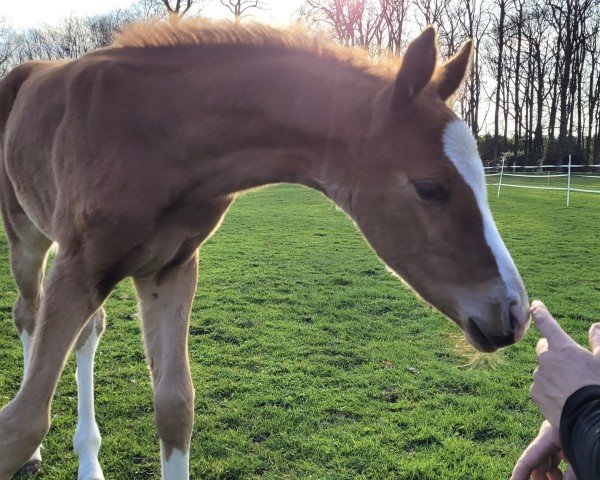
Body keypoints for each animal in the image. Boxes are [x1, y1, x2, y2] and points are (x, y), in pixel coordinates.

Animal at [0, 20, 528, 478]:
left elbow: (175, 407)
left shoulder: (168, 269)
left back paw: (90, 459)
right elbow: (22, 424)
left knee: (89, 333)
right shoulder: (81, 264)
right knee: (28, 314)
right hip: (28, 236)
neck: (157, 135)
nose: (514, 312)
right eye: (430, 188)